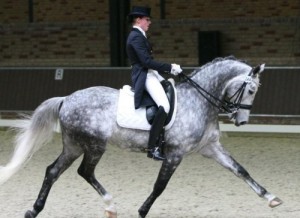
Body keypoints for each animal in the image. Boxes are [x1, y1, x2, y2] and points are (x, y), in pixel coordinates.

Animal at [0, 57, 282, 217]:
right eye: (251, 90)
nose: (241, 120)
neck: (200, 101)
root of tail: (66, 98)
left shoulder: (210, 147)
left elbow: (240, 170)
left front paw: (271, 198)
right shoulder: (175, 154)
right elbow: (160, 186)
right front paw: (142, 210)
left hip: (74, 145)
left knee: (53, 171)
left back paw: (35, 209)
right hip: (94, 145)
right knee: (84, 172)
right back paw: (110, 205)